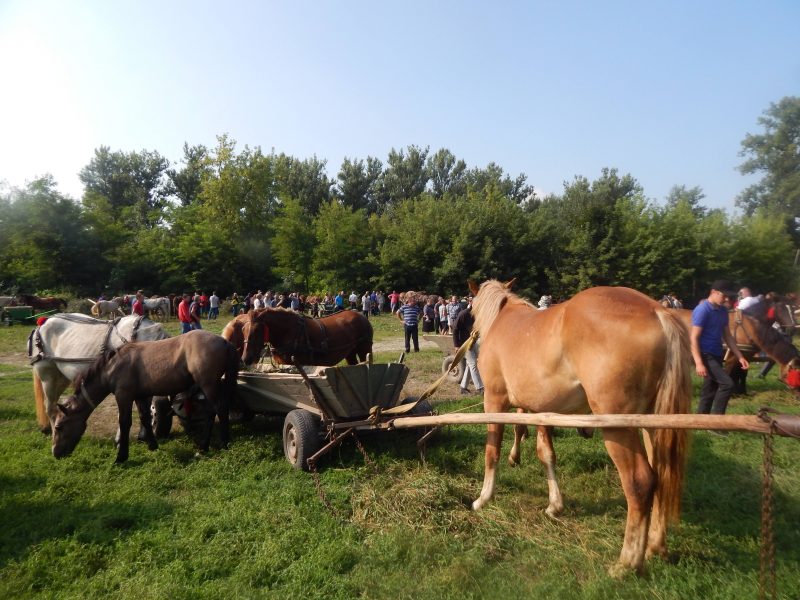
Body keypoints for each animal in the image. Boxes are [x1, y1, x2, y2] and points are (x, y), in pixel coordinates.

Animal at [52, 328, 239, 464]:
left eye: (59, 427)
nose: (55, 453)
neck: (113, 367)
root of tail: (224, 341)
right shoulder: (140, 397)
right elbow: (145, 418)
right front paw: (152, 446)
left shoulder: (123, 396)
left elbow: (125, 423)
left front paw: (121, 457)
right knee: (213, 412)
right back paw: (206, 446)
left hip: (208, 385)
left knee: (219, 410)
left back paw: (216, 445)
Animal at [222, 310, 376, 366]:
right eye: (243, 330)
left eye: (257, 330)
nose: (245, 358)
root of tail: (361, 315)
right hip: (350, 352)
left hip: (364, 349)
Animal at [468, 278, 692, 576]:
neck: (503, 320)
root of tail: (658, 312)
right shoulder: (542, 410)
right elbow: (546, 454)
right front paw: (554, 505)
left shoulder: (494, 400)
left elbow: (491, 452)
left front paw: (483, 499)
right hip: (651, 425)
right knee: (662, 476)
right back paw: (656, 546)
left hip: (618, 428)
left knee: (640, 482)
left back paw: (627, 562)